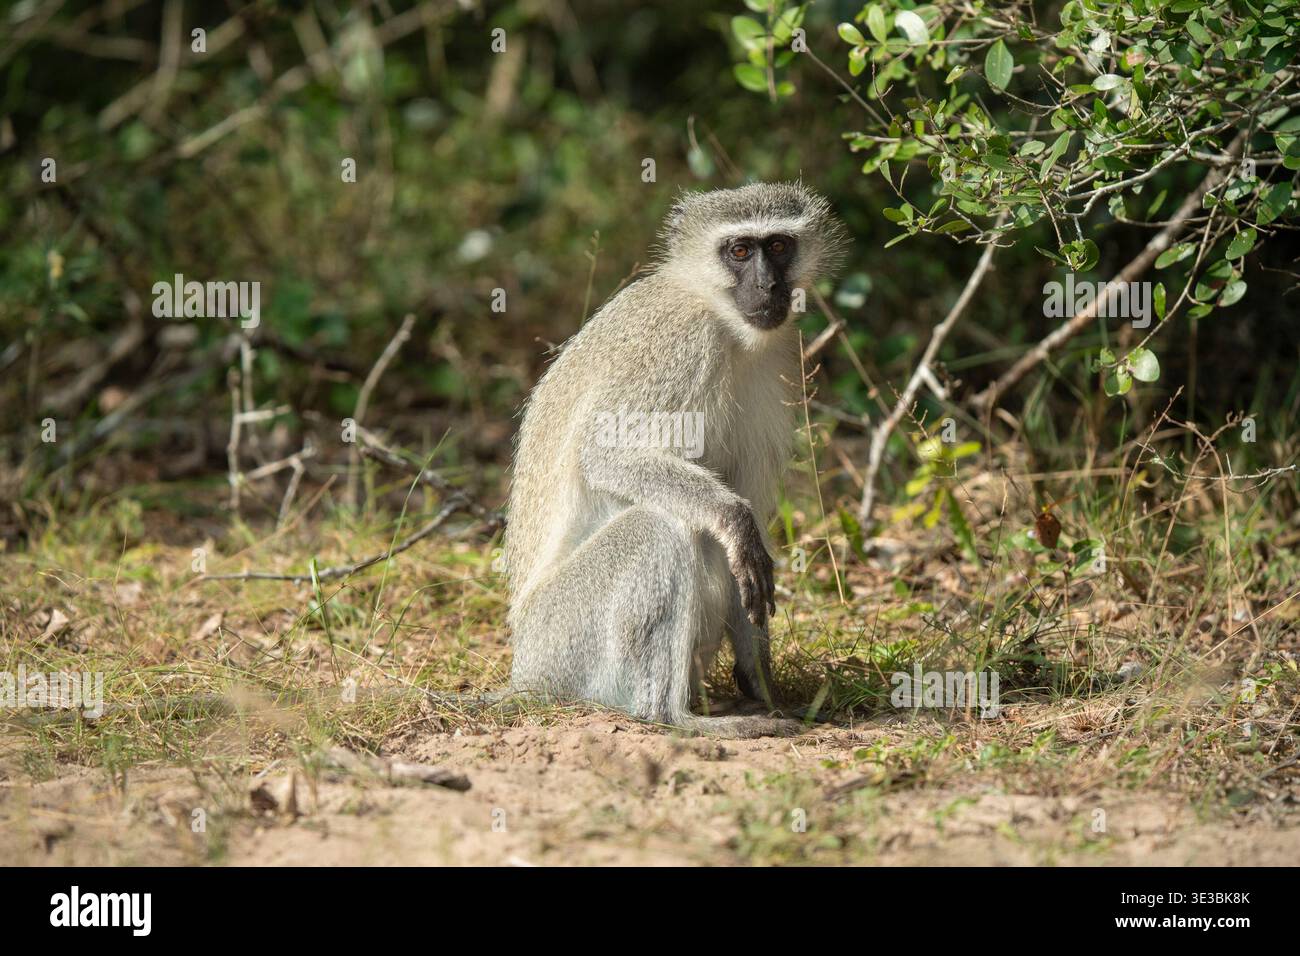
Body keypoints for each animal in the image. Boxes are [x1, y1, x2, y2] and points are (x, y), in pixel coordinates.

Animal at [503, 182, 846, 738]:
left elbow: (747, 516)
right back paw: (674, 717)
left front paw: (762, 683)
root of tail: (524, 673)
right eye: (739, 251)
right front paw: (733, 517)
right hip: (561, 638)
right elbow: (604, 453)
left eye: (778, 246)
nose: (768, 285)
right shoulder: (682, 342)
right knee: (658, 526)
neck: (722, 320)